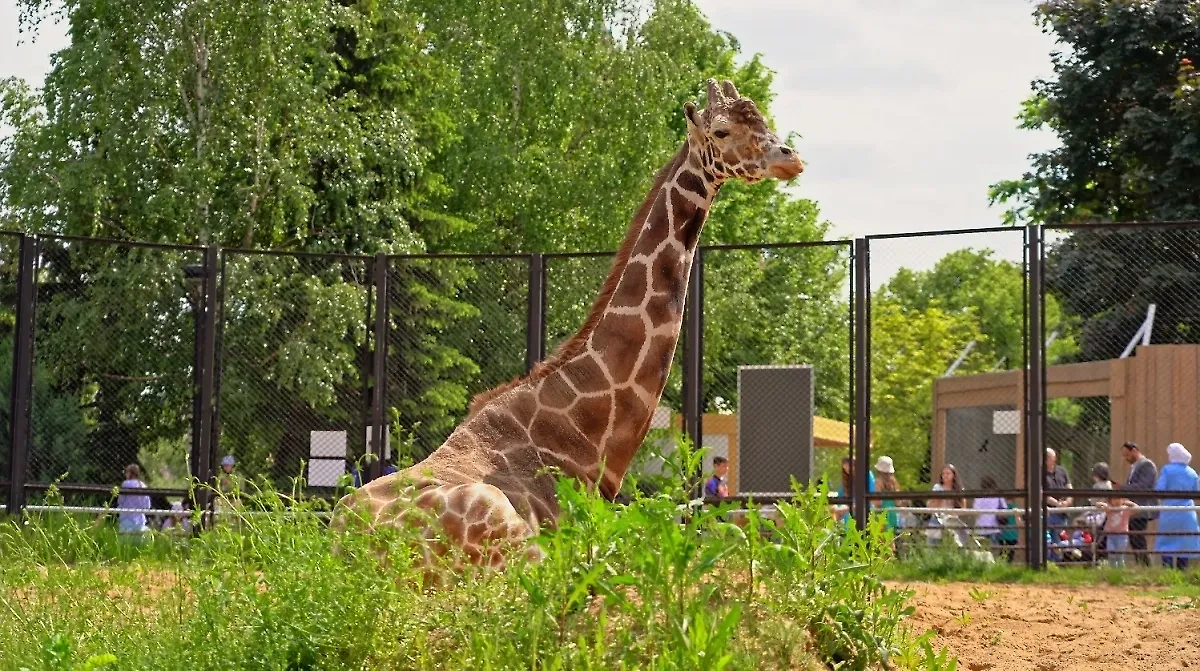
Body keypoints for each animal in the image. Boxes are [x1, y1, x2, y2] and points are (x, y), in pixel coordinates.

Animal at [333, 78, 801, 580]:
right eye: (720, 131)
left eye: (763, 119)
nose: (790, 158)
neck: (585, 433)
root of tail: (343, 548)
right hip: (511, 537)